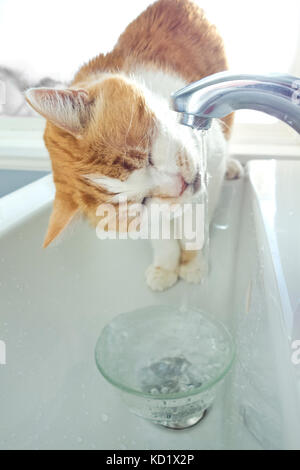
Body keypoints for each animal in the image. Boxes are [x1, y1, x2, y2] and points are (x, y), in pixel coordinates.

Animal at [24, 0, 243, 292]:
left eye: (148, 156)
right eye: (142, 202)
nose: (180, 186)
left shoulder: (211, 169)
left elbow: (194, 225)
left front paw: (192, 263)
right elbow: (162, 234)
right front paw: (166, 265)